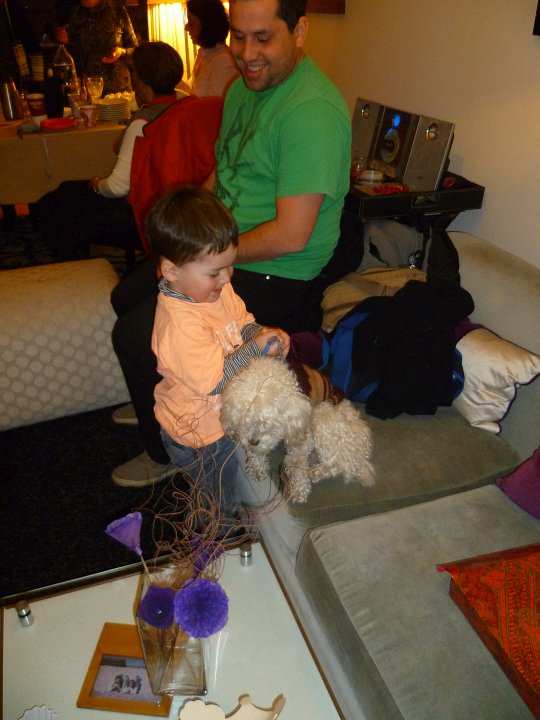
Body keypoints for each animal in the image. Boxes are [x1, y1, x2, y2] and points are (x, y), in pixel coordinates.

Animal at [220, 356, 374, 503]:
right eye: (244, 419)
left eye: (269, 423)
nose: (252, 442)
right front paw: (257, 467)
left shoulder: (303, 435)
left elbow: (297, 462)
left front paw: (299, 488)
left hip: (323, 416)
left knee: (340, 465)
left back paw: (315, 471)